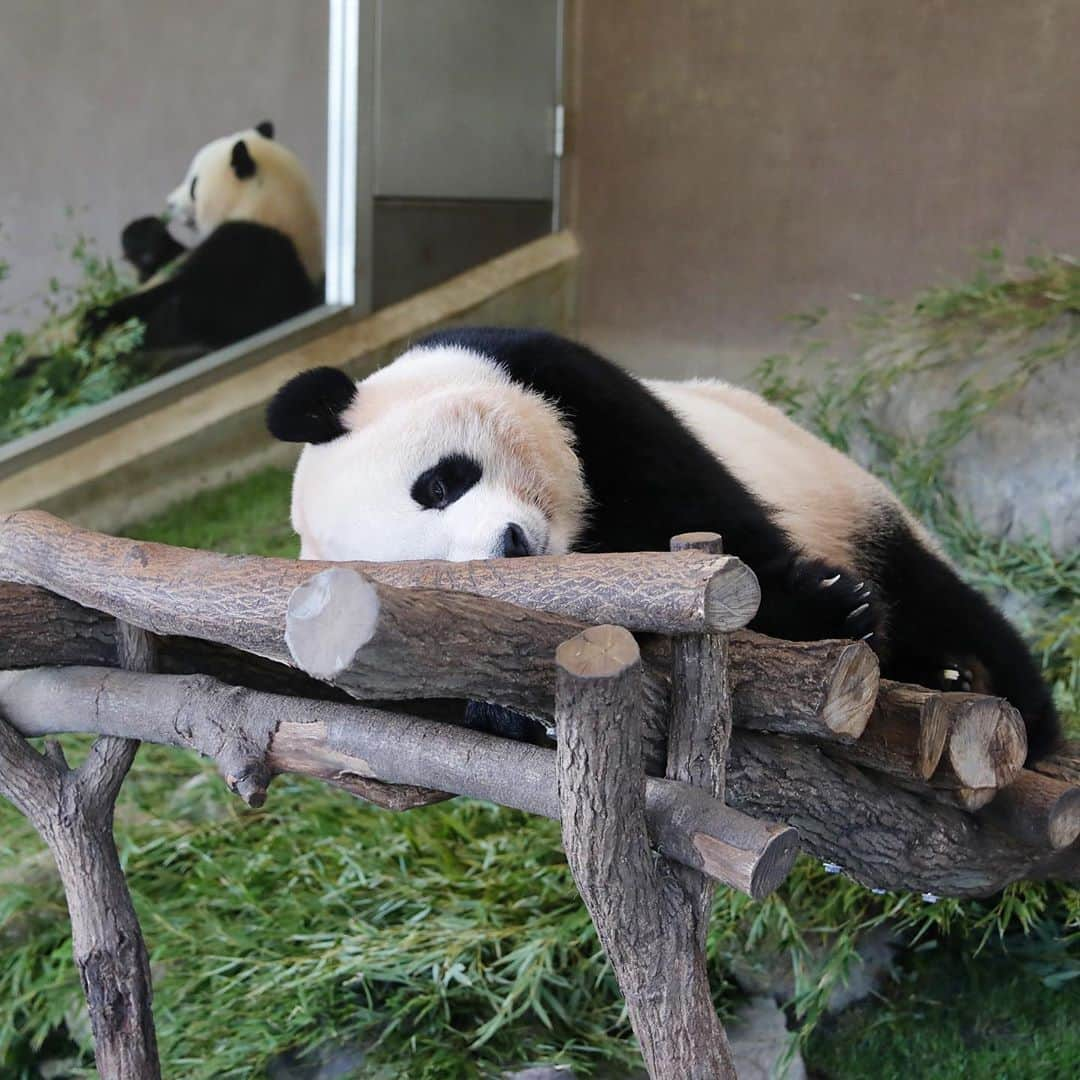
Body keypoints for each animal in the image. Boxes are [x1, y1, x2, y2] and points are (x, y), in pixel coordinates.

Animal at [265, 324, 1058, 756]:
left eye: (437, 483)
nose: (513, 545)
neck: (580, 533)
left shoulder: (565, 385)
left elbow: (703, 512)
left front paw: (827, 611)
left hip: (843, 492)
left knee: (937, 595)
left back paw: (983, 687)